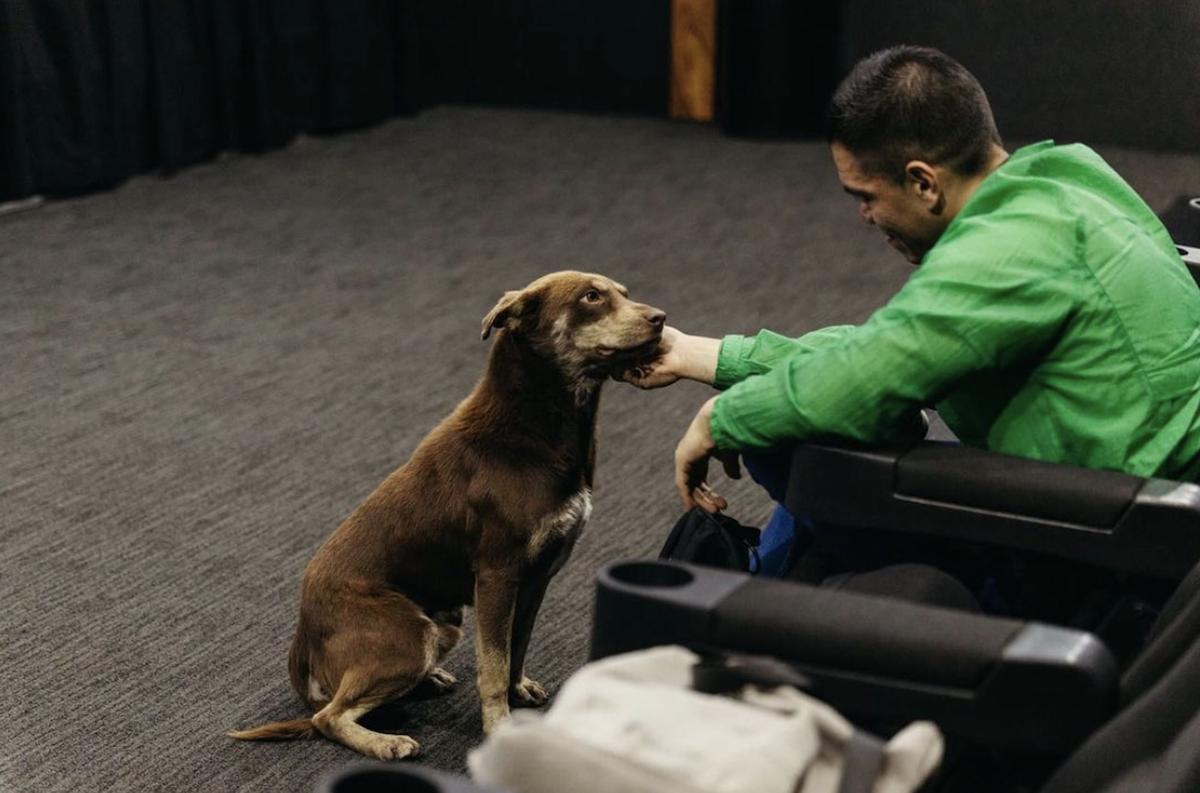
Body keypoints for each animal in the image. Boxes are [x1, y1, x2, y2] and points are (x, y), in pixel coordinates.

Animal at [229, 273, 667, 763]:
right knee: (329, 717)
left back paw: (429, 682)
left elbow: (515, 649)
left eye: (624, 293)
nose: (660, 318)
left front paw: (518, 690)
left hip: (445, 623)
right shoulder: (497, 577)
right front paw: (499, 727)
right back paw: (386, 742)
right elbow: (492, 667)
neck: (535, 424)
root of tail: (302, 637)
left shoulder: (537, 578)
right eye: (591, 297)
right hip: (407, 635)